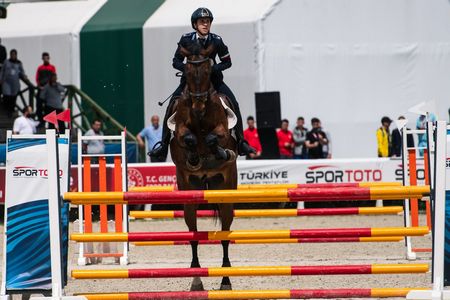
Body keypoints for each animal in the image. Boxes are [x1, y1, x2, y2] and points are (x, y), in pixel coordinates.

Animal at [170, 42, 239, 290]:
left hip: (226, 191)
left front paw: (221, 152)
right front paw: (193, 157)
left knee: (225, 235)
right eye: (188, 73)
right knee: (194, 235)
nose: (199, 107)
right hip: (189, 196)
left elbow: (212, 138)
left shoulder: (221, 129)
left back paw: (226, 280)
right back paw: (196, 279)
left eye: (209, 71)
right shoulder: (180, 130)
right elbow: (187, 138)